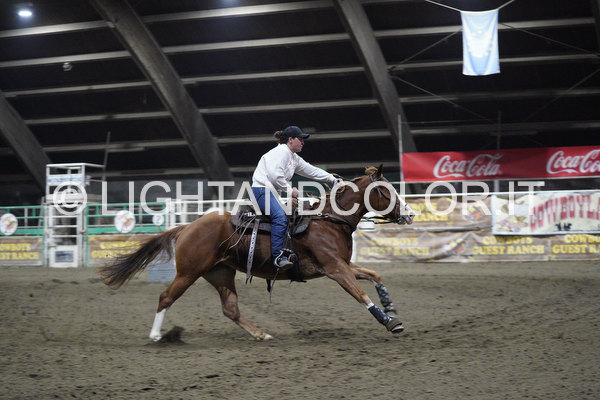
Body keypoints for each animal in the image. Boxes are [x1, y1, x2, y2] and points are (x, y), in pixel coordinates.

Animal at [99, 164, 415, 341]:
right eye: (386, 192)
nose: (410, 214)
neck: (328, 220)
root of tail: (188, 226)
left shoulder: (343, 264)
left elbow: (375, 275)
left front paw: (390, 307)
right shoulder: (335, 269)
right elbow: (360, 294)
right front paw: (390, 322)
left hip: (220, 273)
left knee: (230, 308)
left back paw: (260, 334)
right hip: (189, 272)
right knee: (166, 297)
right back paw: (155, 336)